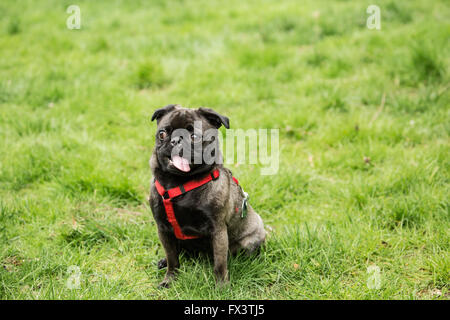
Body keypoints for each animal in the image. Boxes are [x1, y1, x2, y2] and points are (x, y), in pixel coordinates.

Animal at [148, 105, 268, 288]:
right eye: (162, 134)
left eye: (194, 136)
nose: (175, 141)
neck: (179, 182)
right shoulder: (163, 229)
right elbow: (172, 259)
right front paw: (170, 280)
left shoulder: (217, 230)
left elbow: (219, 264)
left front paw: (221, 287)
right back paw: (163, 262)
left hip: (249, 240)